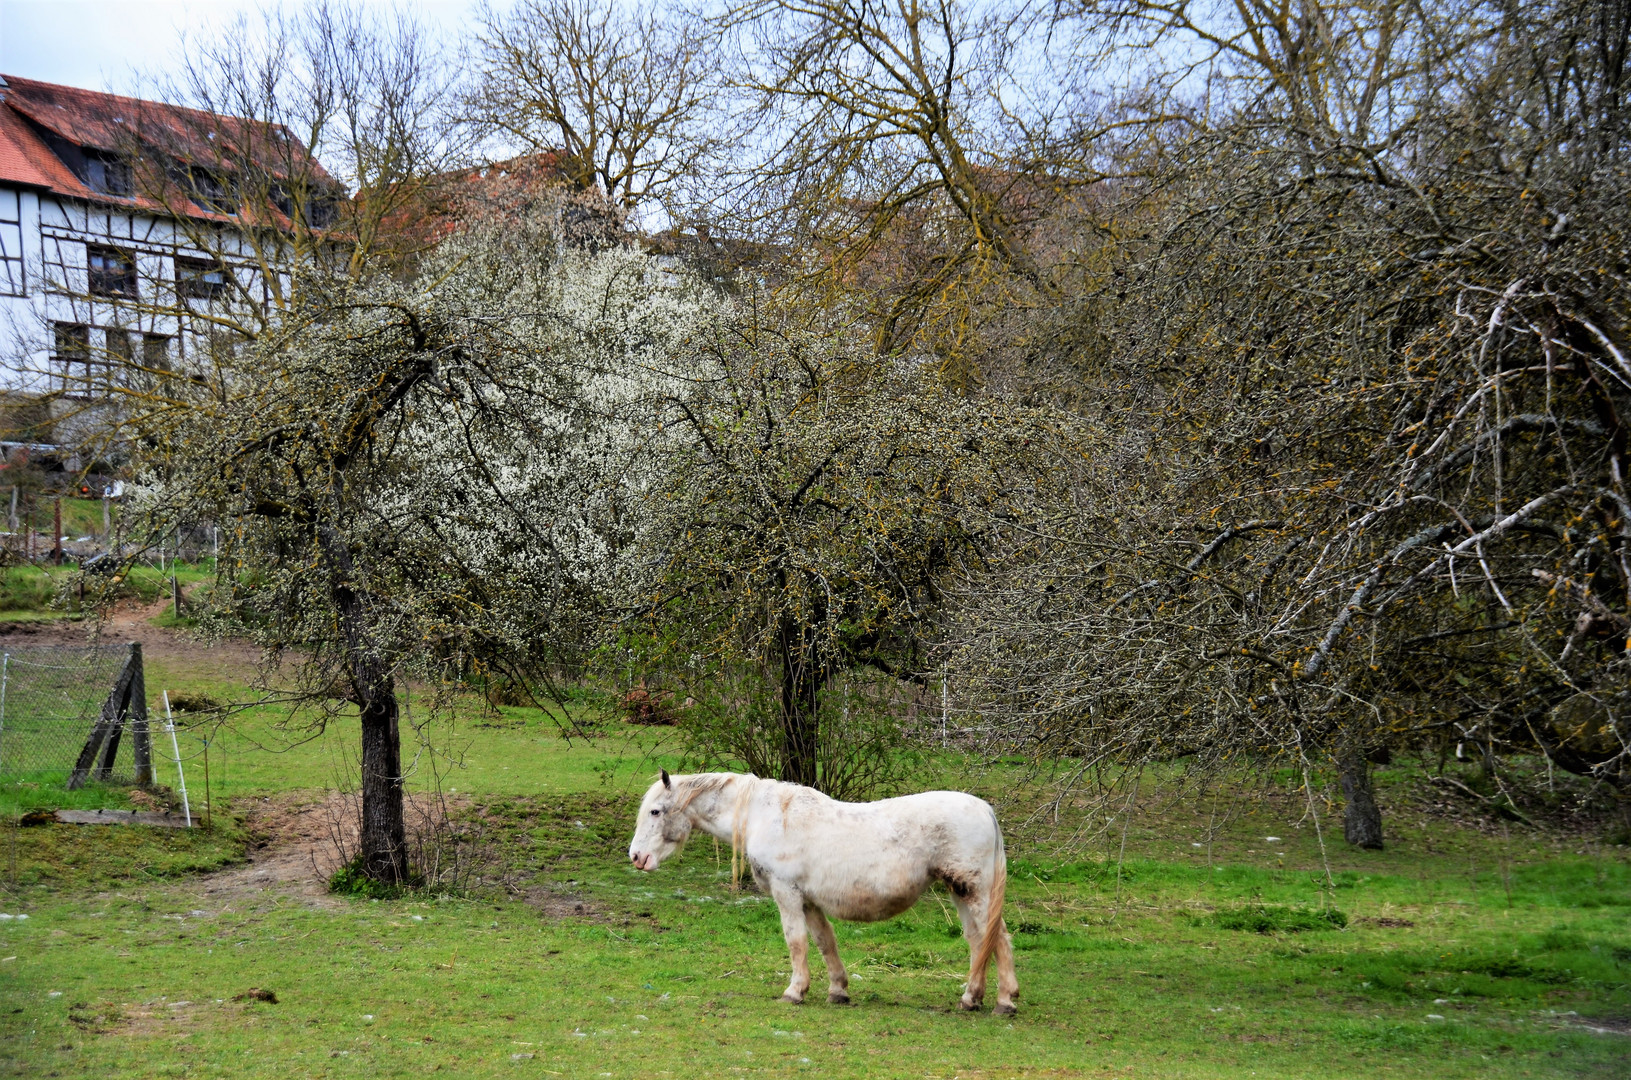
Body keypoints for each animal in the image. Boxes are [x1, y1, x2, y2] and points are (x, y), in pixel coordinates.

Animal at [626, 770, 1017, 1018]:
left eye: (655, 811)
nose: (636, 857)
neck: (764, 816)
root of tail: (986, 810)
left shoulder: (786, 893)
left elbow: (796, 941)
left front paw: (794, 992)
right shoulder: (809, 900)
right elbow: (824, 942)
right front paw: (837, 991)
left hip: (974, 892)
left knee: (996, 939)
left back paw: (1004, 1002)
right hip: (960, 892)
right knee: (978, 941)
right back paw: (972, 998)